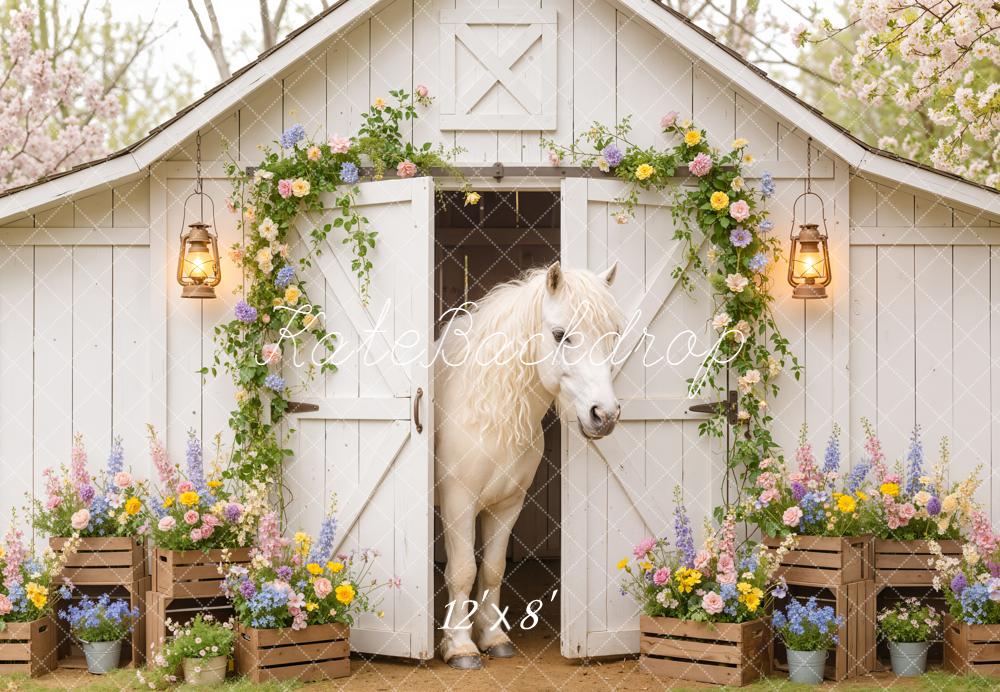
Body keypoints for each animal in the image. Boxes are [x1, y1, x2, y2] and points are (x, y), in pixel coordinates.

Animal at [434, 261, 623, 669]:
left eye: (613, 335)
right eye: (560, 335)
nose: (605, 415)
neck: (488, 415)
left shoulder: (508, 505)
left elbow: (492, 569)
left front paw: (492, 638)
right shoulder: (458, 503)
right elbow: (462, 571)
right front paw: (460, 646)